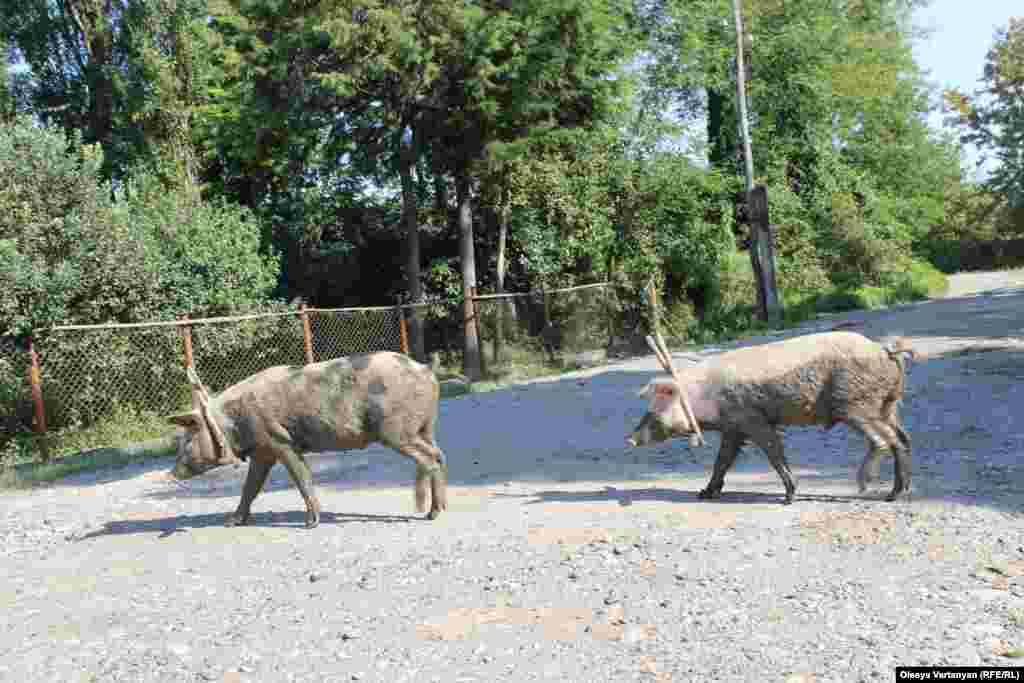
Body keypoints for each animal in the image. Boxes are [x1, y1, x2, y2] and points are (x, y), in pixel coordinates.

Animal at [168, 352, 448, 528]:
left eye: (188, 440)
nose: (171, 474)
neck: (232, 421)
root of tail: (425, 369)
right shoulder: (263, 452)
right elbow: (250, 488)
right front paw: (231, 523)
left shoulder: (281, 442)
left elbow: (302, 478)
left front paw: (310, 524)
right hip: (425, 428)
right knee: (439, 454)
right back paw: (436, 511)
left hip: (396, 432)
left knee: (430, 458)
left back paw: (428, 514)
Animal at [626, 331, 917, 501]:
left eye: (655, 412)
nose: (629, 439)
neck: (705, 395)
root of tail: (885, 350)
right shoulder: (734, 429)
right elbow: (722, 461)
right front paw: (704, 494)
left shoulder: (753, 420)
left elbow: (773, 453)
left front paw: (789, 496)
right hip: (888, 405)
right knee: (903, 439)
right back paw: (897, 493)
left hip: (855, 404)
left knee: (883, 441)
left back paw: (864, 488)